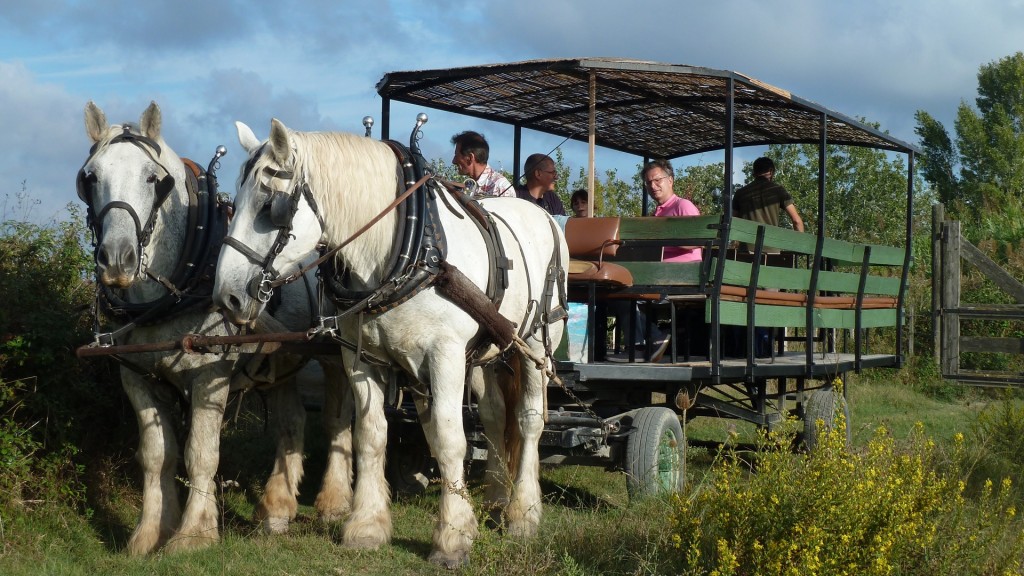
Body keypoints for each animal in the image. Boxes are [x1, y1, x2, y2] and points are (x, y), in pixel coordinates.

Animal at [212, 117, 569, 565]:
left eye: (268, 205)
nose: (226, 297)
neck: (408, 248)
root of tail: (541, 214)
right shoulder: (360, 359)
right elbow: (370, 435)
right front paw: (366, 525)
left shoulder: (446, 355)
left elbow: (450, 440)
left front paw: (452, 537)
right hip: (487, 352)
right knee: (493, 416)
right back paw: (496, 499)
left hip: (536, 345)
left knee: (529, 420)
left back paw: (523, 513)